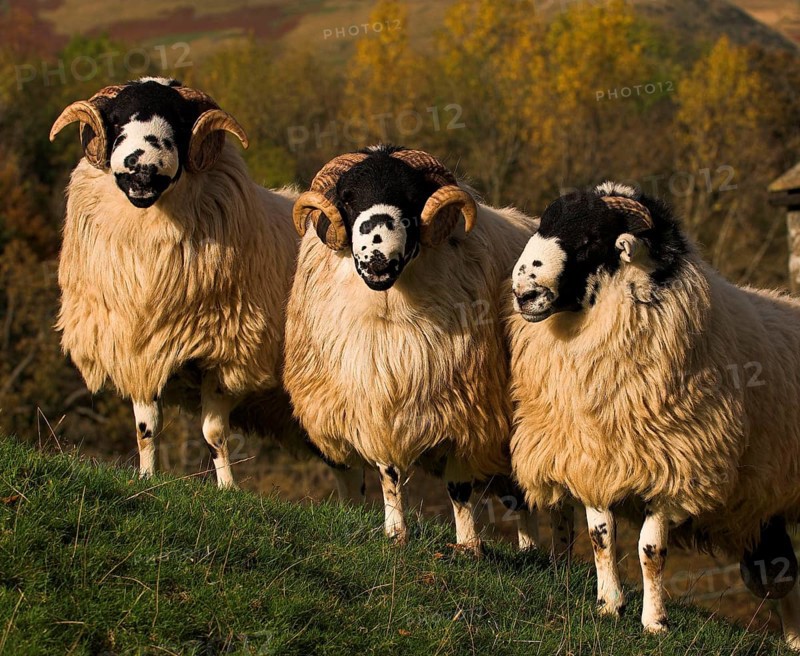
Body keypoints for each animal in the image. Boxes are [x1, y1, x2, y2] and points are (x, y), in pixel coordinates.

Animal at [50, 77, 364, 497]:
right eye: (116, 121)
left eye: (180, 123)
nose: (141, 170)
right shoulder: (138, 348)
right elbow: (146, 428)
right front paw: (146, 478)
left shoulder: (226, 354)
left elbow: (214, 434)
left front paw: (228, 490)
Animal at [284, 144, 566, 554]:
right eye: (348, 197)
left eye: (412, 197)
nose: (377, 255)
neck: (388, 311)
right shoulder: (378, 407)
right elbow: (388, 473)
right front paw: (395, 533)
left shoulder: (468, 415)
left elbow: (459, 488)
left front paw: (469, 546)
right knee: (519, 497)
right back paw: (530, 552)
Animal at [506, 180, 800, 646]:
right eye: (545, 226)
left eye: (590, 240)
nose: (524, 294)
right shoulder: (594, 459)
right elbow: (601, 537)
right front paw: (610, 605)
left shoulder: (676, 467)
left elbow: (650, 551)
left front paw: (655, 620)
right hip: (763, 509)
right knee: (780, 576)